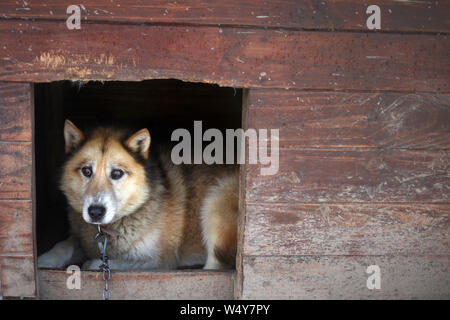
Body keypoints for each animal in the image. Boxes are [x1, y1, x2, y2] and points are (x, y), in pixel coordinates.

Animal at [37, 120, 239, 270]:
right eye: (86, 171)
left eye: (117, 173)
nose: (95, 212)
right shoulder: (81, 239)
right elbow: (63, 245)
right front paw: (44, 260)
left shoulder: (159, 260)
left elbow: (114, 263)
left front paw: (91, 264)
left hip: (217, 200)